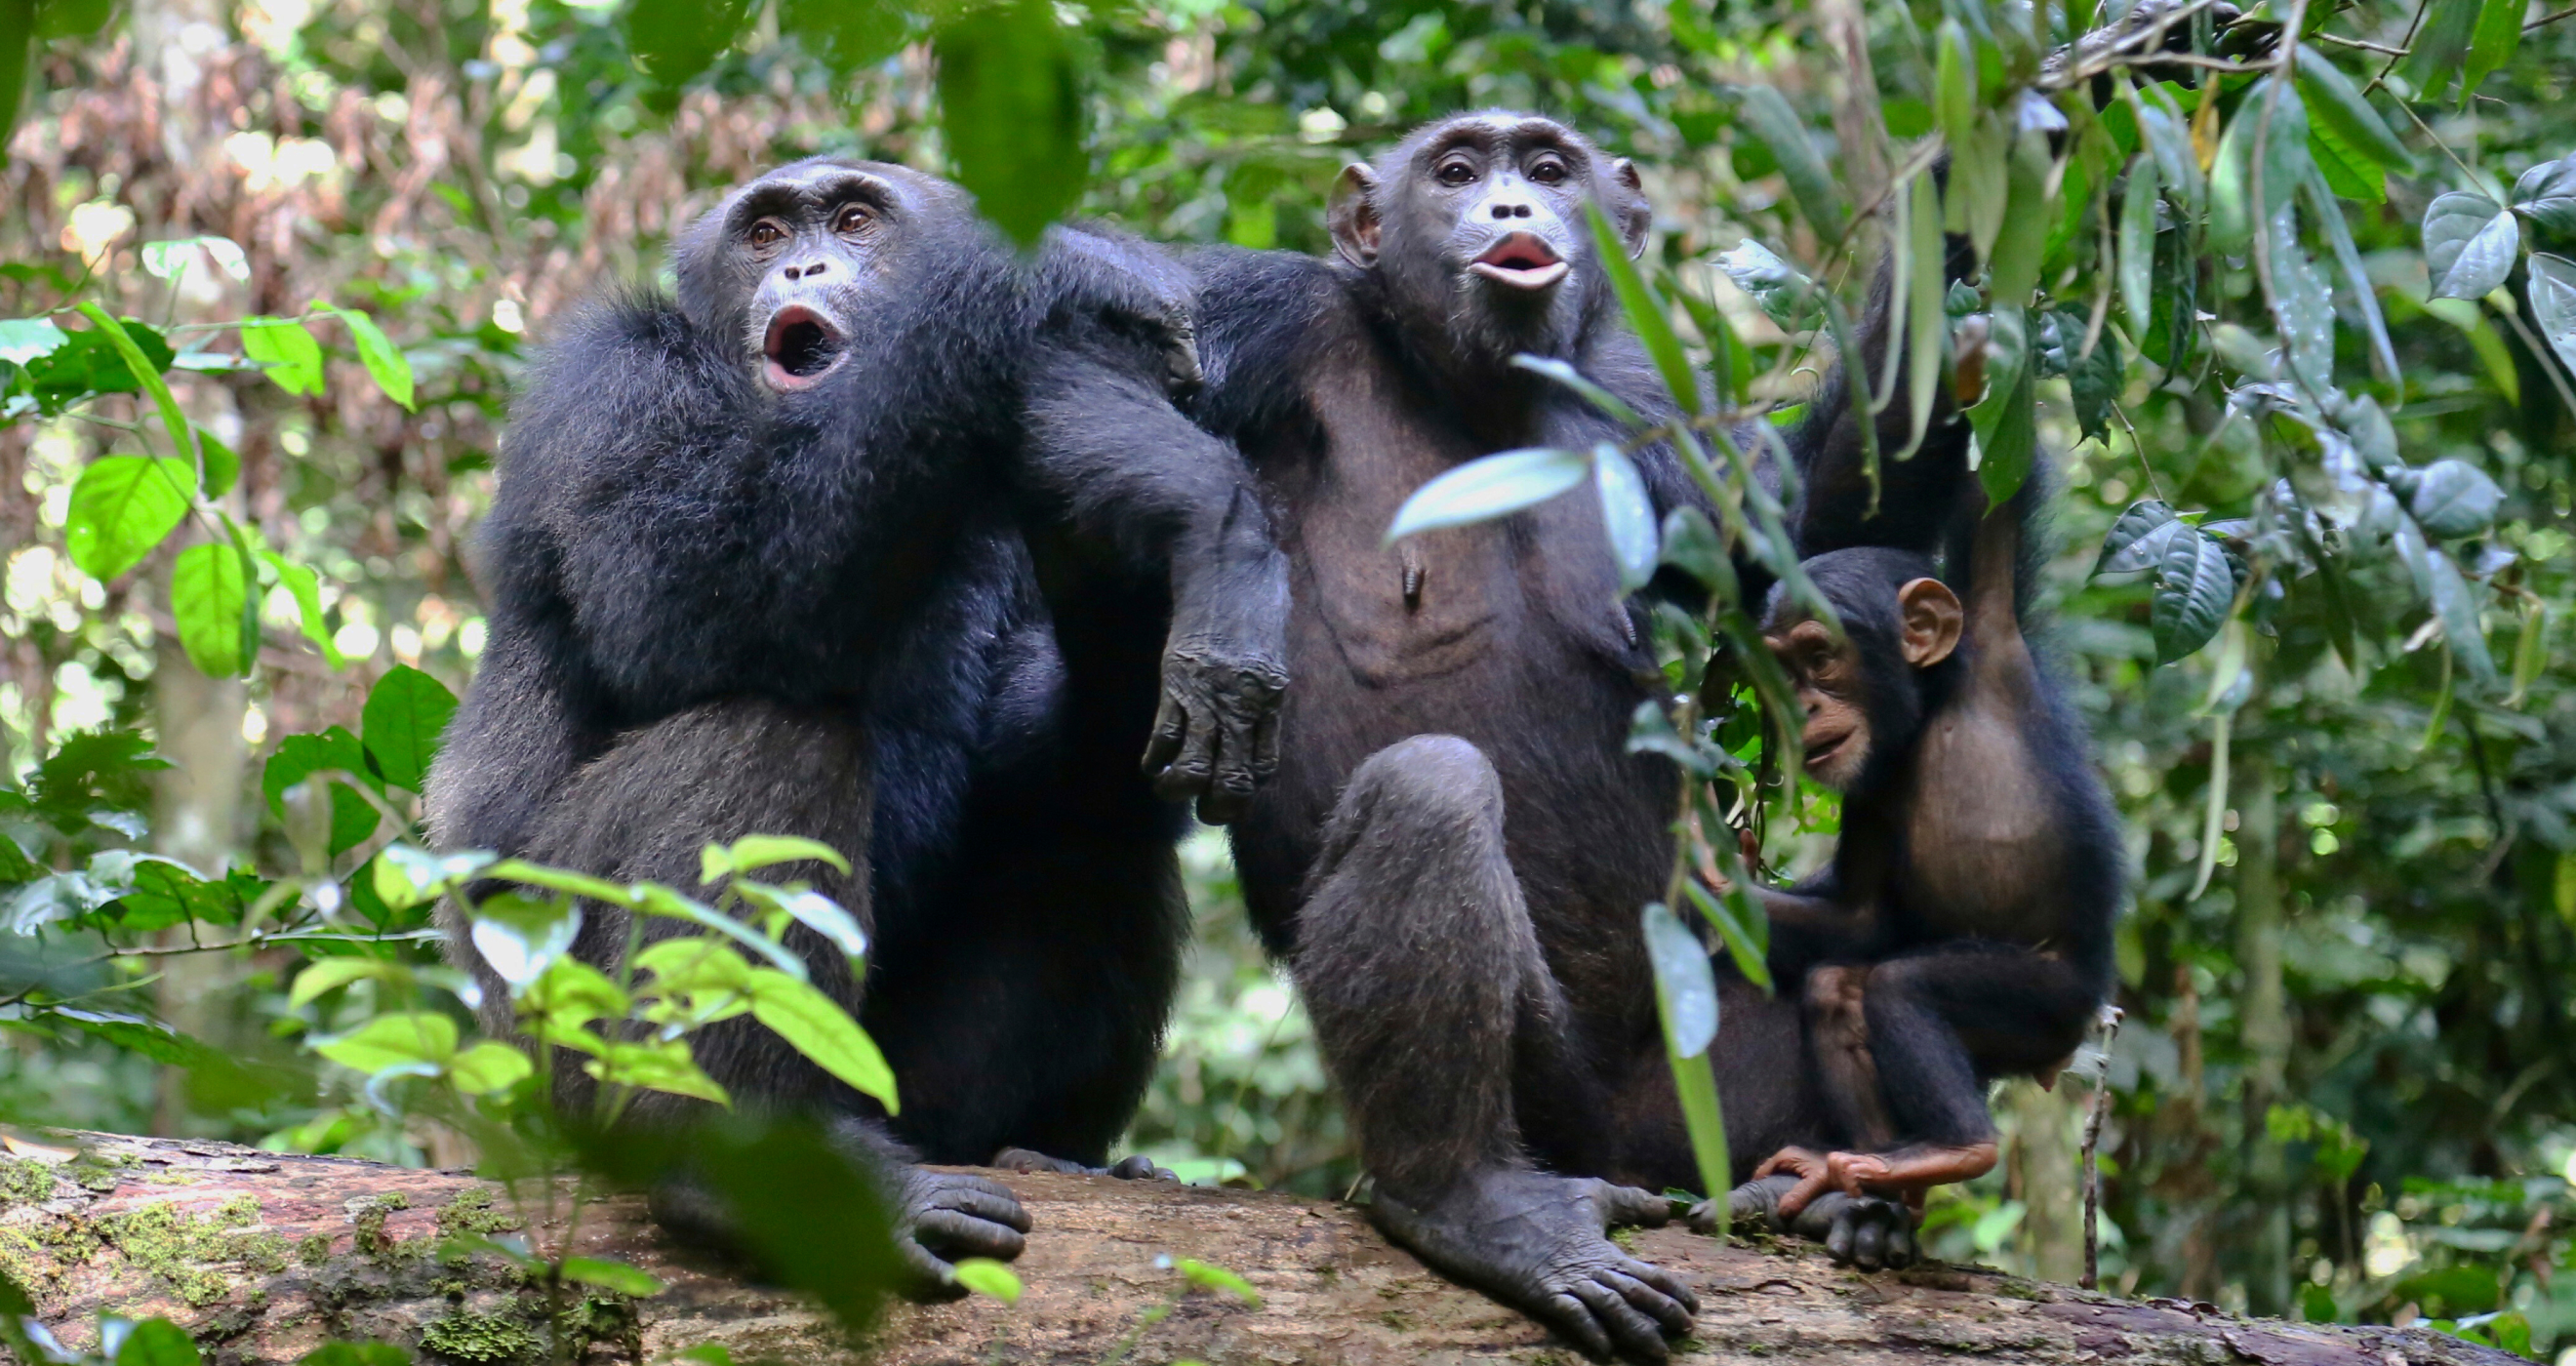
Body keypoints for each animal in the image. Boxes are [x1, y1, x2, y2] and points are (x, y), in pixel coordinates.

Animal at [435, 156, 1308, 1288]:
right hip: (558, 1044)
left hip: (911, 1089)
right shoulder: (603, 388)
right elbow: (682, 592)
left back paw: (1045, 1151)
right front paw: (1056, 267)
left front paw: (1166, 537)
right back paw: (741, 1163)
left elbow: (1050, 758)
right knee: (764, 744)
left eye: (853, 219)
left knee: (1096, 838)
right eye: (764, 233)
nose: (805, 265)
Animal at [1180, 111, 1978, 1350]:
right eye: (1458, 170)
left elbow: (1798, 531)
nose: (1512, 206)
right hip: (1556, 1101)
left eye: (1549, 169)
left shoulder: (1656, 402)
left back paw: (1855, 1202)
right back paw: (1470, 1199)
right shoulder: (1268, 318)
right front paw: (1215, 617)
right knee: (1429, 794)